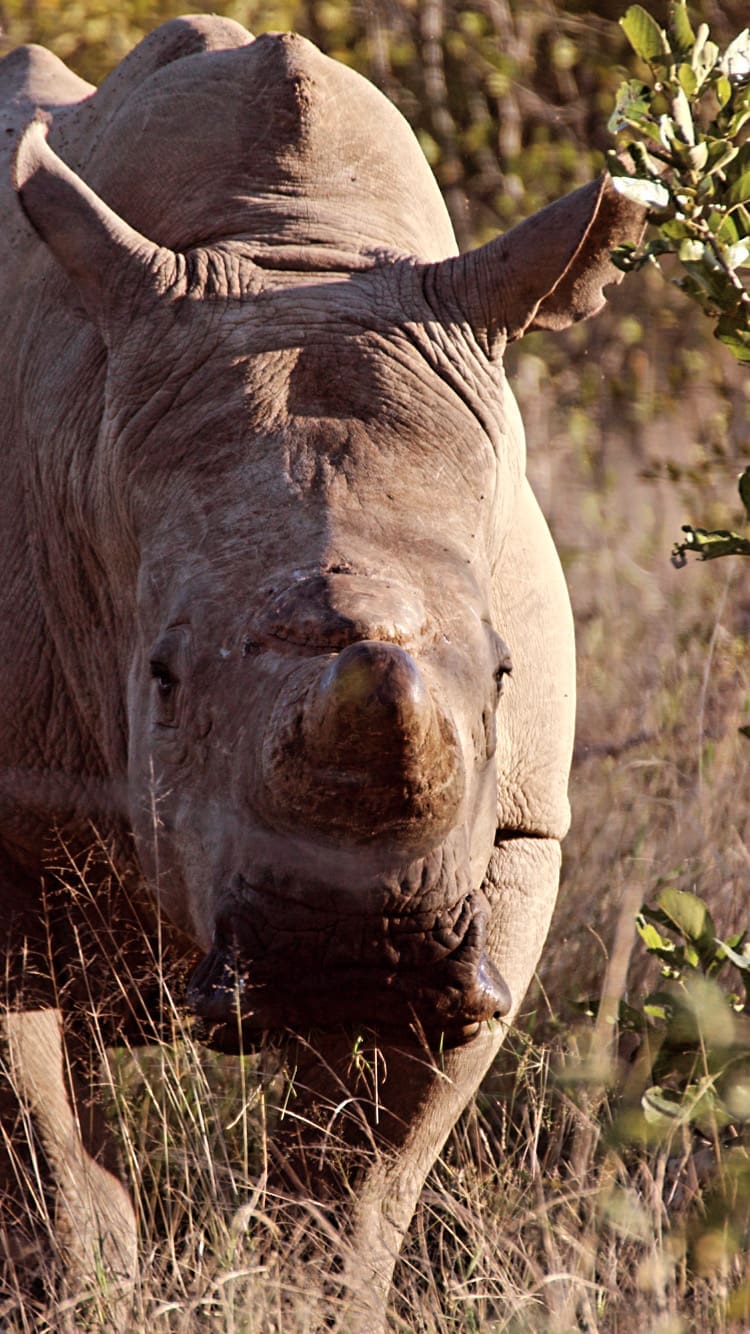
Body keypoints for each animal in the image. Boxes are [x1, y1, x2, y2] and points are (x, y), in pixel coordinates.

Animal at [0, 13, 644, 1327]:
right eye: (160, 675)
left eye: (505, 674)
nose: (351, 948)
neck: (290, 251)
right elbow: (44, 1155)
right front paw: (89, 1296)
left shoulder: (515, 831)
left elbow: (362, 1172)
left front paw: (302, 1293)